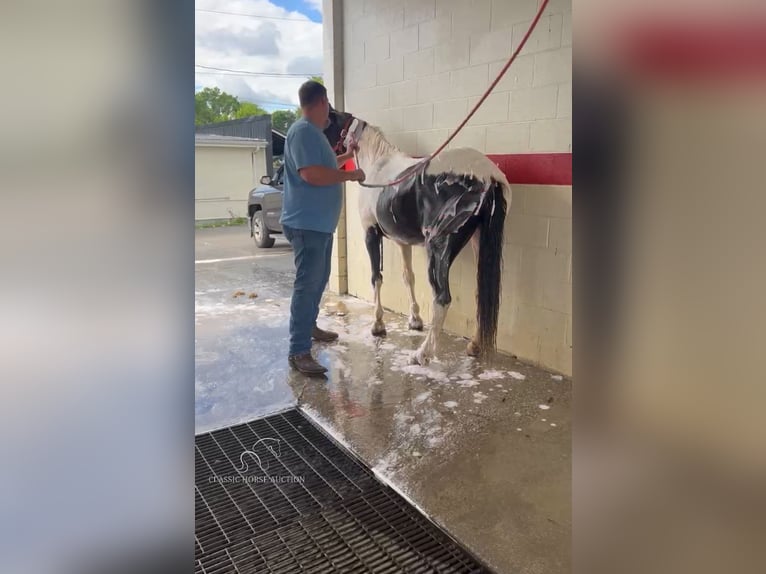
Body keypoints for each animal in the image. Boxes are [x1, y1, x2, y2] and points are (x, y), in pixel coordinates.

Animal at [324, 110, 510, 366]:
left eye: (327, 124)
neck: (377, 164)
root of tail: (488, 177)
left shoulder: (370, 233)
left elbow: (376, 277)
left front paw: (378, 325)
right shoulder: (403, 241)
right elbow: (408, 277)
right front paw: (415, 320)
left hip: (438, 248)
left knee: (442, 298)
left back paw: (422, 354)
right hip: (478, 242)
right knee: (480, 292)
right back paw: (474, 345)